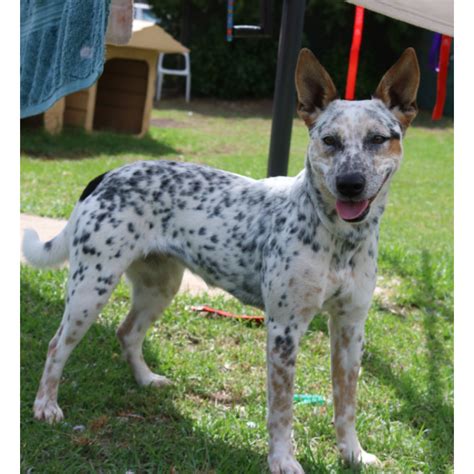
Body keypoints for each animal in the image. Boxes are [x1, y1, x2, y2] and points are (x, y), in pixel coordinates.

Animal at [24, 48, 420, 470]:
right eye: (329, 141)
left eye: (378, 140)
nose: (350, 184)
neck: (339, 239)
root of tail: (106, 175)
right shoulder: (284, 329)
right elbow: (281, 409)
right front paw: (282, 459)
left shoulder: (350, 327)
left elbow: (346, 403)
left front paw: (353, 453)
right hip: (90, 291)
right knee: (56, 346)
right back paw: (46, 405)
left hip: (160, 287)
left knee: (127, 332)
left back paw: (146, 380)